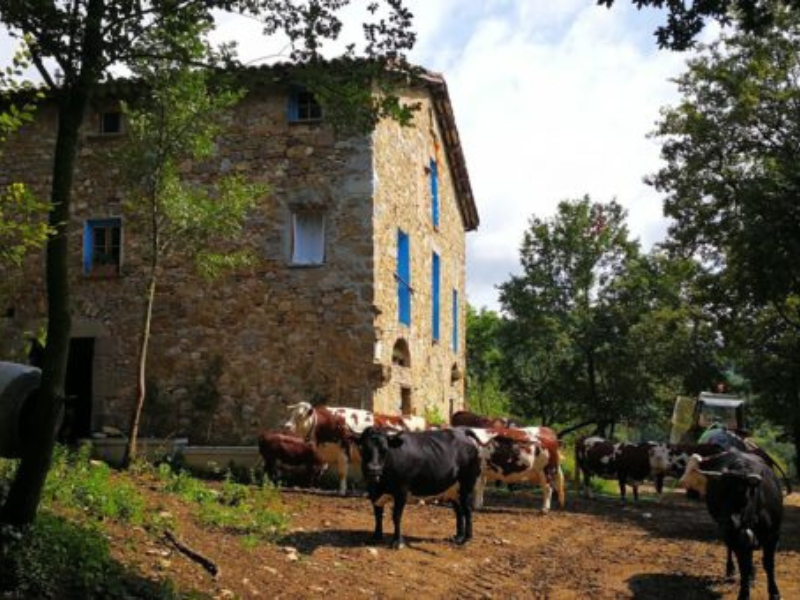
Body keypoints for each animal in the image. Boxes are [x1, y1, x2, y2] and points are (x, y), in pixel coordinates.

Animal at [284, 400, 428, 494]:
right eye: (291, 414)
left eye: (300, 416)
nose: (286, 426)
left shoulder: (343, 450)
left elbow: (342, 473)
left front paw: (342, 491)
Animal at [680, 450, 784, 600]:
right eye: (718, 493)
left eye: (741, 492)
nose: (725, 521)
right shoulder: (735, 537)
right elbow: (743, 566)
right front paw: (744, 593)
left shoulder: (773, 535)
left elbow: (768, 564)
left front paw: (774, 592)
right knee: (731, 549)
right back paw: (731, 570)